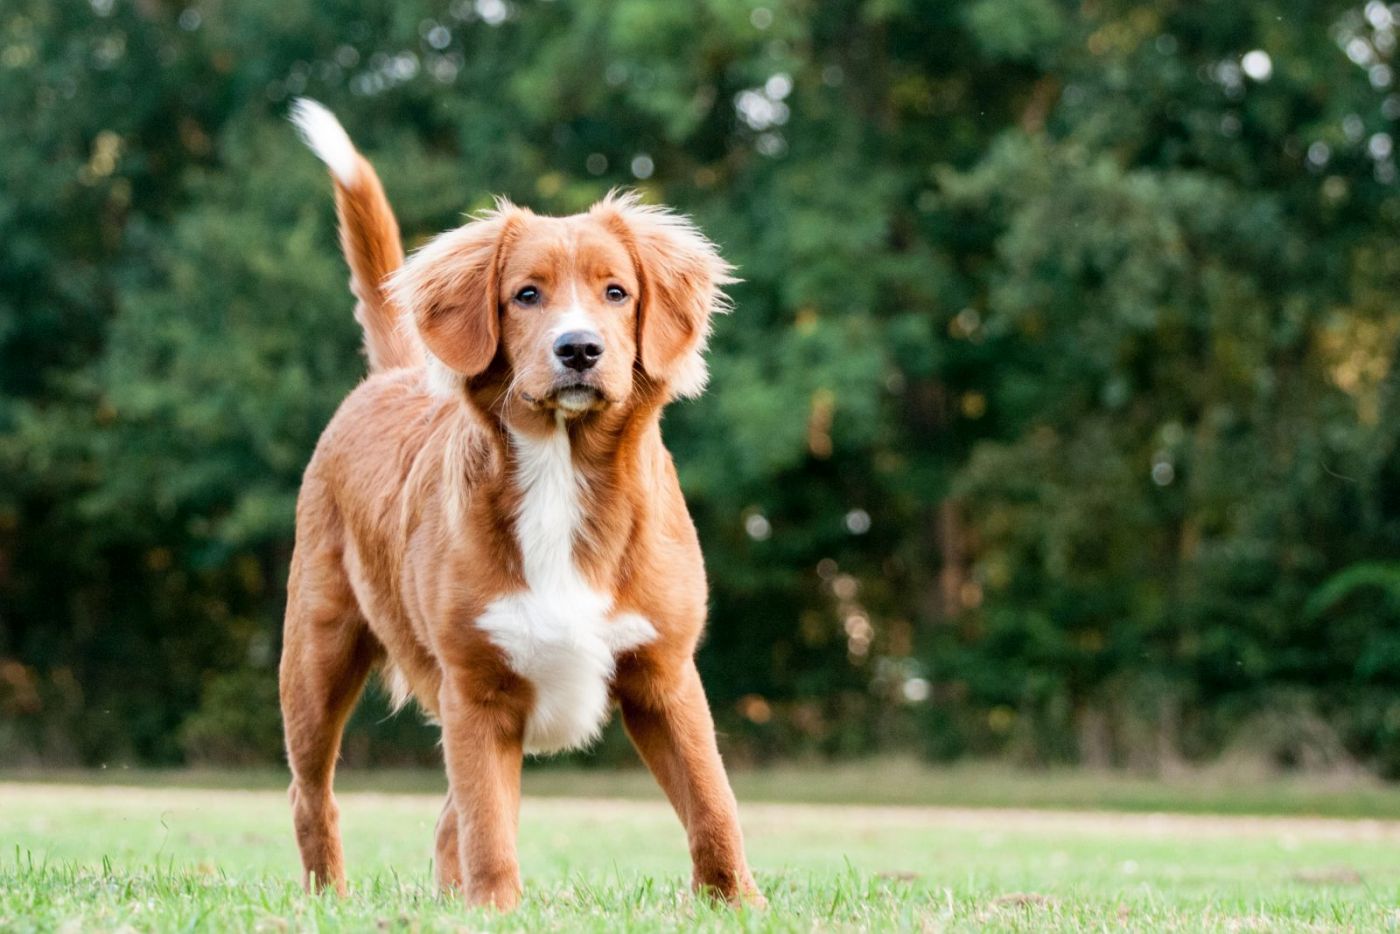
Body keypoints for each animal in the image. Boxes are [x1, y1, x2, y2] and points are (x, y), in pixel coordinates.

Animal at [281, 102, 767, 912]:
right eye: (526, 295)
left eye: (616, 292)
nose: (579, 350)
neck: (561, 474)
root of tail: (392, 375)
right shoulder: (475, 687)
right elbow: (488, 824)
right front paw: (494, 910)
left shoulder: (664, 674)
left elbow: (713, 804)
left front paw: (739, 905)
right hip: (317, 654)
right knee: (313, 796)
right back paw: (330, 900)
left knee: (444, 819)